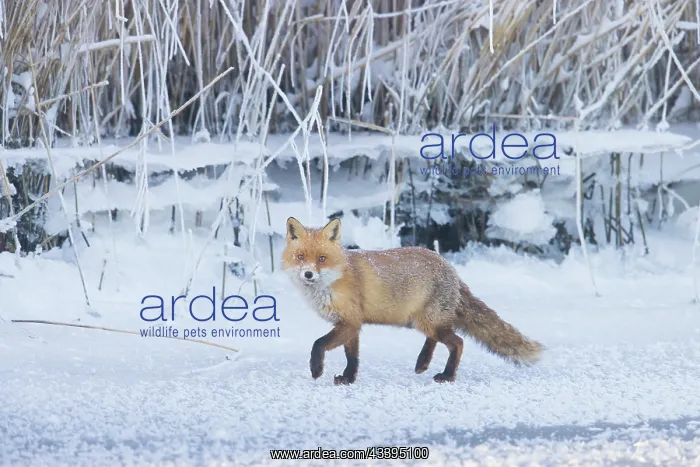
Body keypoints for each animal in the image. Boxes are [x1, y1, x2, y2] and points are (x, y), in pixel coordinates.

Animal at [281, 216, 544, 385]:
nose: (308, 274)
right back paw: (423, 363)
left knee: (457, 342)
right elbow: (352, 357)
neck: (334, 280)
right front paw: (348, 378)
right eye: (300, 257)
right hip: (423, 321)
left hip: (428, 321)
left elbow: (318, 344)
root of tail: (451, 270)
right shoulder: (351, 323)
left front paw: (317, 370)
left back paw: (447, 376)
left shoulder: (349, 322)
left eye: (322, 258)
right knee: (436, 340)